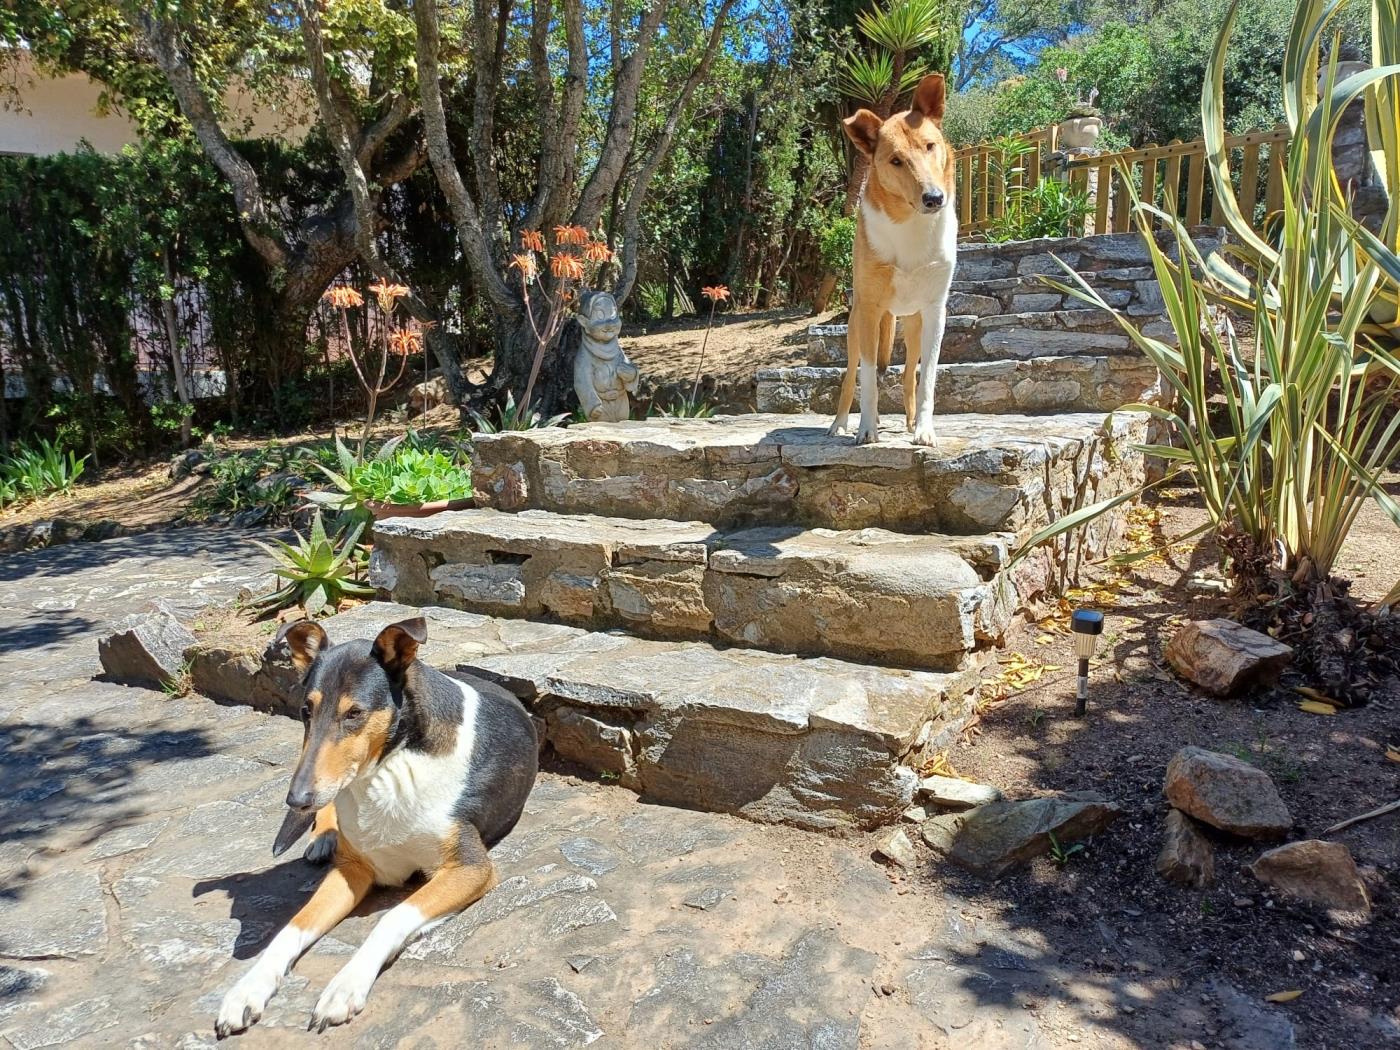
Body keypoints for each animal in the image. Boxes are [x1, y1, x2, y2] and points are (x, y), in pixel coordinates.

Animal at [215, 616, 537, 1036]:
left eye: (354, 713)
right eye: (305, 710)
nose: (296, 799)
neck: (390, 769)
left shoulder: (469, 866)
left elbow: (392, 916)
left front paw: (344, 986)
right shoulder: (353, 870)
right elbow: (292, 926)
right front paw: (247, 989)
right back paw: (322, 839)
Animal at [828, 72, 963, 450]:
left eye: (930, 146)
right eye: (896, 161)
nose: (934, 198)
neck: (910, 224)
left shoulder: (935, 312)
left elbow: (927, 377)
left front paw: (924, 429)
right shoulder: (870, 310)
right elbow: (869, 379)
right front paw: (866, 430)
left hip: (913, 326)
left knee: (907, 375)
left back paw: (909, 421)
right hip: (856, 326)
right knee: (851, 376)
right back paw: (840, 424)